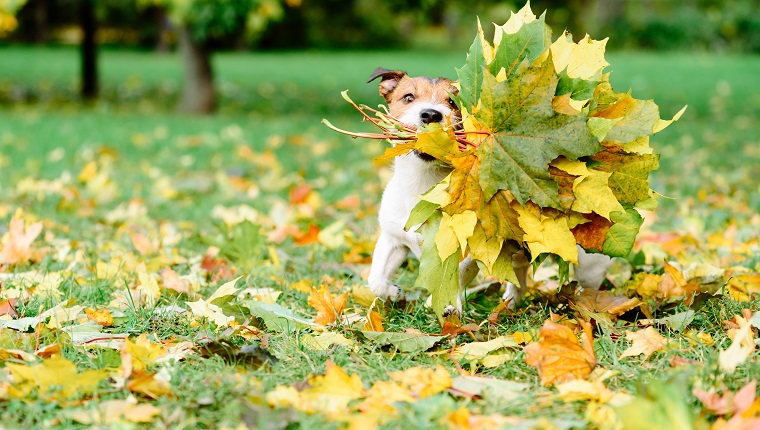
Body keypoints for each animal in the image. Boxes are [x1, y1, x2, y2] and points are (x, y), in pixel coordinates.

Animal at [364, 68, 612, 316]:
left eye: (453, 102)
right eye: (408, 97)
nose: (431, 114)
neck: (424, 187)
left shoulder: (467, 250)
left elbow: (455, 277)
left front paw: (444, 305)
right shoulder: (392, 238)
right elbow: (374, 279)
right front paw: (393, 293)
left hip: (589, 262)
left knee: (589, 286)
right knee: (520, 278)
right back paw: (509, 304)